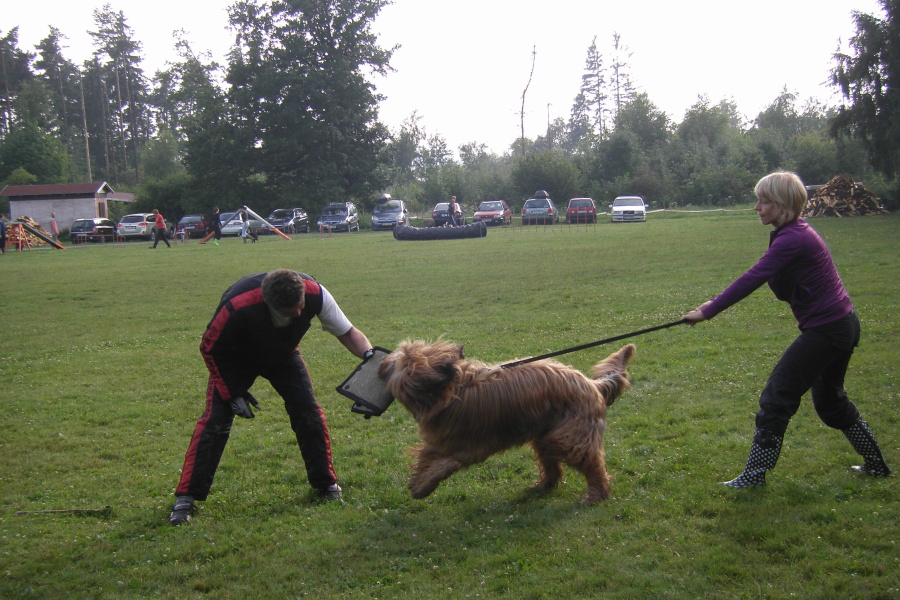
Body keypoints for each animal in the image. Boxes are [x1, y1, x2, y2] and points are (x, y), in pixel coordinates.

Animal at [380, 340, 640, 504]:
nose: (382, 365)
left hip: (570, 436)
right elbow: (428, 456)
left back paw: (596, 495)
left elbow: (439, 463)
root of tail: (592, 384)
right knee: (553, 466)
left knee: (593, 465)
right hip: (546, 434)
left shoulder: (465, 445)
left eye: (402, 358)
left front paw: (420, 487)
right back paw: (542, 486)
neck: (453, 388)